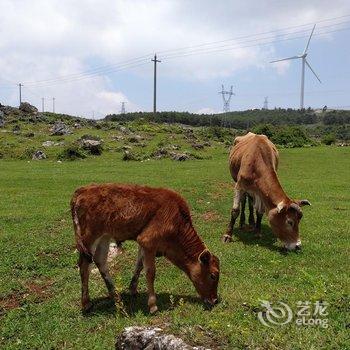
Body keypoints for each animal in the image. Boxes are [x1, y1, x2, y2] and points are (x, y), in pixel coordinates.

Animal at [70, 185, 220, 314]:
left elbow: (139, 265)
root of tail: (83, 190)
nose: (215, 300)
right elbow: (150, 272)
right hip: (89, 237)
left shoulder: (144, 244)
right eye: (213, 275)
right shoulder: (148, 241)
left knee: (100, 260)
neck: (176, 219)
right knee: (84, 265)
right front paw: (153, 305)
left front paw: (133, 289)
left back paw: (115, 295)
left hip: (104, 236)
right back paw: (86, 303)